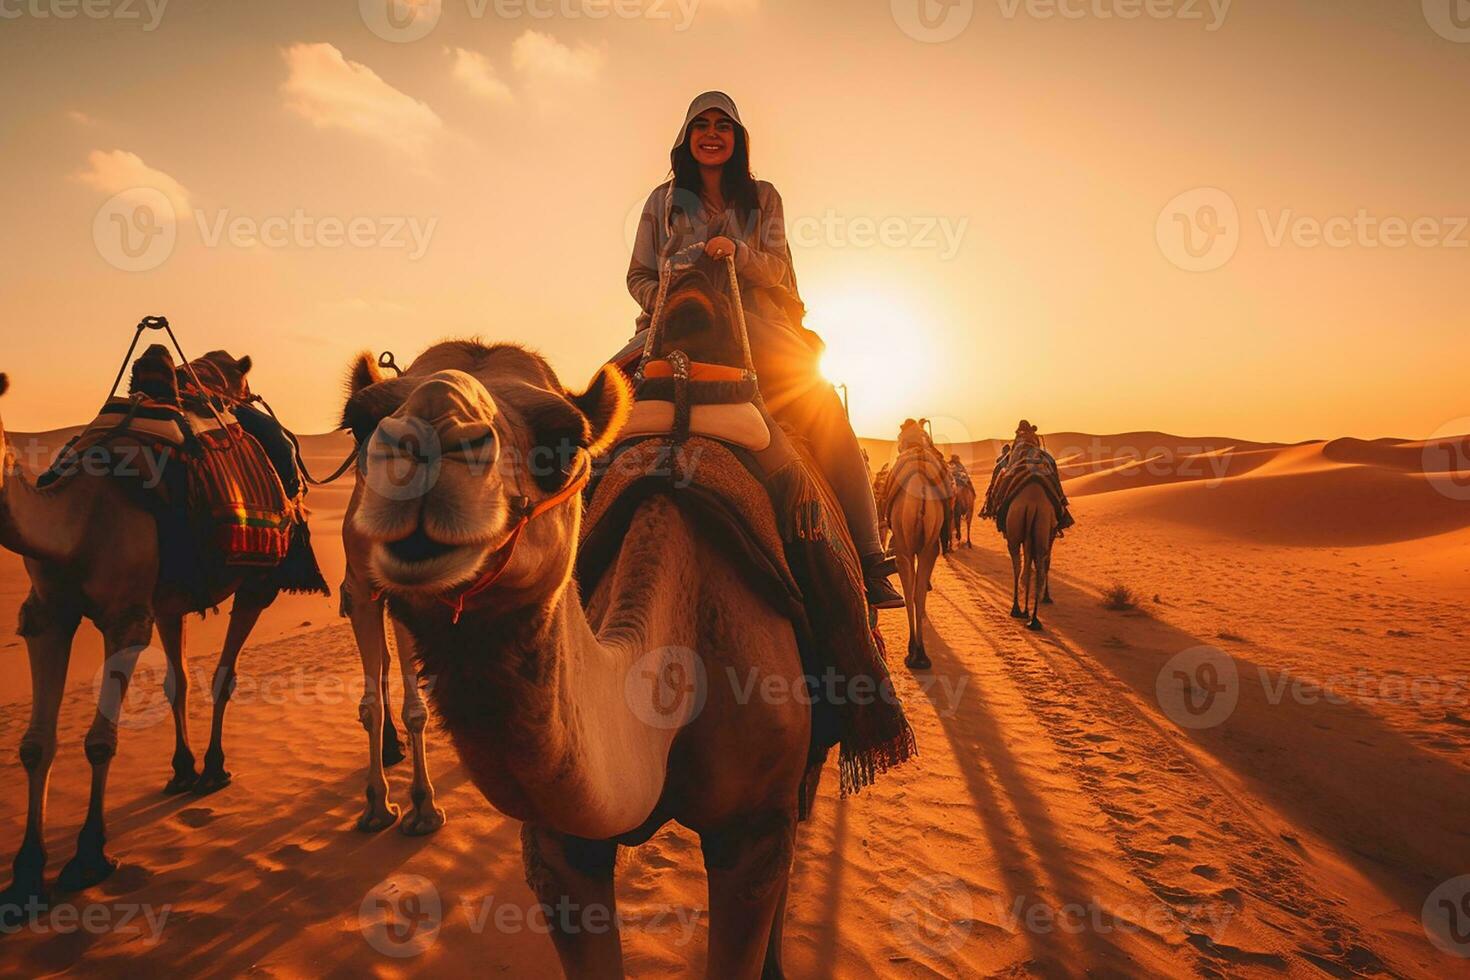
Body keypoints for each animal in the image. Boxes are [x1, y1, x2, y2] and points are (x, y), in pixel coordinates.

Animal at [0, 364, 280, 910]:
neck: (75, 521)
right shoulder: (46, 614)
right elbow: (35, 745)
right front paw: (25, 874)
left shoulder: (125, 618)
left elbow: (99, 741)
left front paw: (89, 855)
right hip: (170, 597)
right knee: (180, 680)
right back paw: (182, 769)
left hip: (256, 578)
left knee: (224, 674)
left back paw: (213, 768)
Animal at [1005, 481, 1052, 631]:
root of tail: (1032, 506)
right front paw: (1046, 597)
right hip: (1039, 531)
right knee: (1033, 568)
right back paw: (1030, 617)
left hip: (1018, 532)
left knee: (1021, 567)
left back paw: (1023, 613)